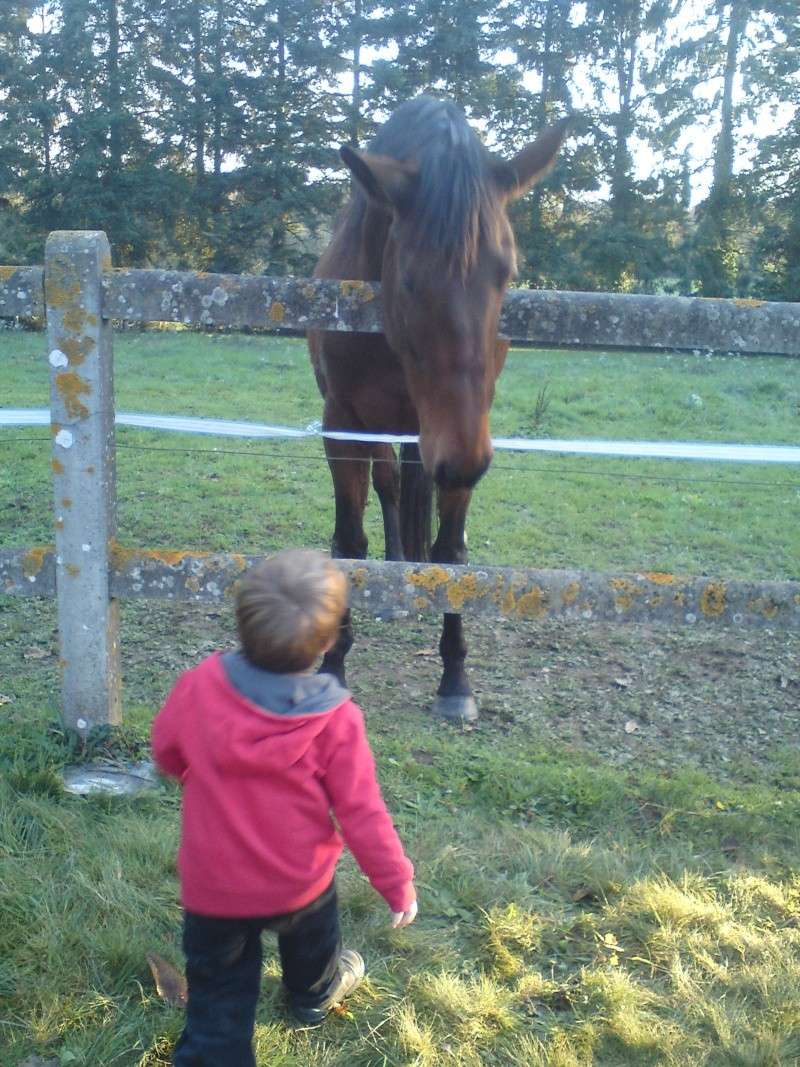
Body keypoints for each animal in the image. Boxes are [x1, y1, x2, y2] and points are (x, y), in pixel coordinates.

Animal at [309, 96, 571, 721]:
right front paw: (333, 665)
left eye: (507, 273)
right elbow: (349, 543)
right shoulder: (344, 426)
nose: (462, 462)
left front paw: (455, 679)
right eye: (408, 279)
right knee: (389, 486)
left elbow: (451, 553)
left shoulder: (465, 432)